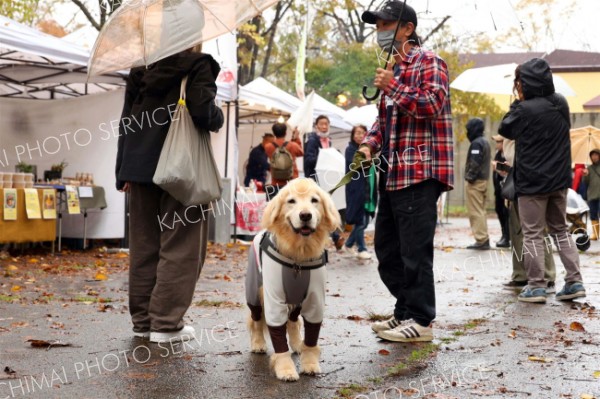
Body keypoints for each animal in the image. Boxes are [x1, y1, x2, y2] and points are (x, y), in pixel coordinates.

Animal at [245, 178, 340, 382]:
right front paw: (286, 369)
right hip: (254, 293)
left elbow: (311, 334)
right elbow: (277, 336)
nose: (305, 215)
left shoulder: (315, 301)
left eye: (314, 200)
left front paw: (310, 363)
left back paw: (297, 344)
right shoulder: (273, 300)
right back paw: (258, 343)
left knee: (294, 322)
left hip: (295, 301)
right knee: (256, 319)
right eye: (291, 201)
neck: (299, 256)